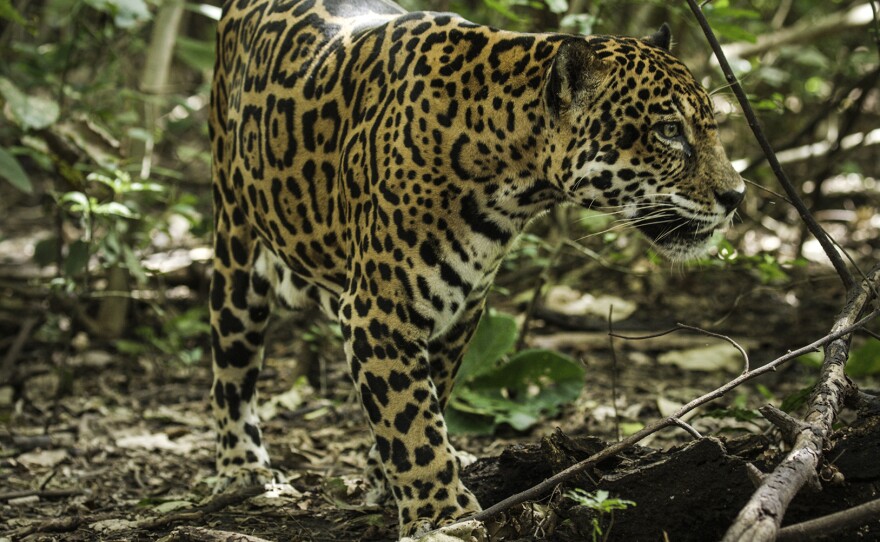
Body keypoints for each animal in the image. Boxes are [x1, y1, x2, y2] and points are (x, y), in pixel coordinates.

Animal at [208, 0, 745, 537]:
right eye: (668, 131)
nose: (736, 195)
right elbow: (409, 417)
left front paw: (386, 480)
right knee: (232, 372)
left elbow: (428, 397)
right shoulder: (378, 310)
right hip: (235, 247)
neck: (512, 172)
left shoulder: (460, 309)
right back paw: (242, 467)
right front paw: (440, 513)